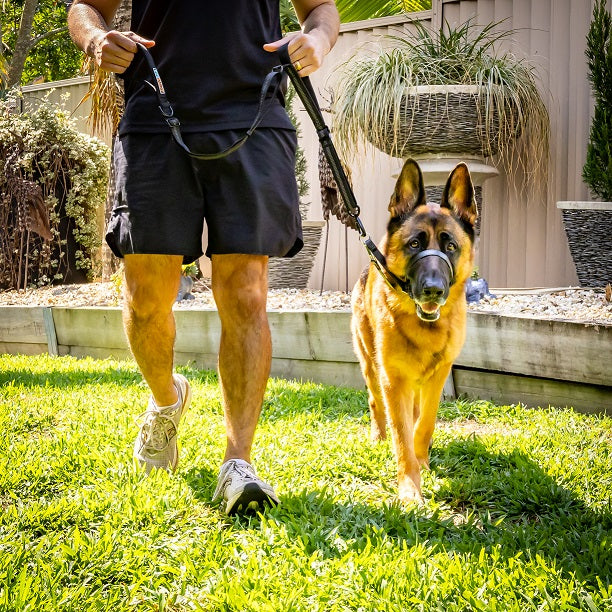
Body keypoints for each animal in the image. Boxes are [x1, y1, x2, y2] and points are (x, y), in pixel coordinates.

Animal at [350, 159, 478, 506]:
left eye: (450, 246)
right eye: (415, 244)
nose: (433, 290)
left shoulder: (437, 377)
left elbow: (425, 423)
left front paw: (422, 459)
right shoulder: (394, 382)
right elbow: (402, 437)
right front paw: (410, 489)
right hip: (370, 366)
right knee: (375, 402)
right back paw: (379, 435)